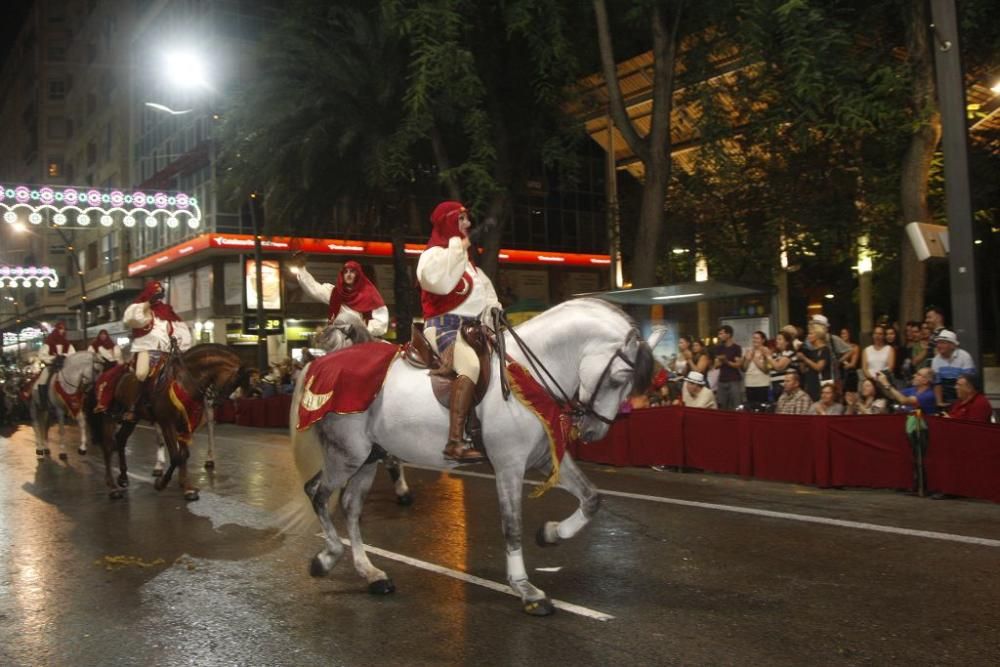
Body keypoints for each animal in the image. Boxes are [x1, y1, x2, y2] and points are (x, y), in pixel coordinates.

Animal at [86, 344, 250, 500]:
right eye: (235, 381)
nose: (218, 402)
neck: (184, 381)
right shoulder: (167, 423)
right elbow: (176, 456)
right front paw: (161, 483)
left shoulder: (186, 424)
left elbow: (184, 454)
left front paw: (187, 487)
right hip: (108, 417)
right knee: (108, 447)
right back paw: (113, 487)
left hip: (131, 420)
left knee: (120, 440)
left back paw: (123, 477)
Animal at [292, 298, 656, 616]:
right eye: (619, 378)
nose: (595, 431)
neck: (529, 372)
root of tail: (319, 365)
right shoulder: (509, 466)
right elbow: (512, 526)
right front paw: (527, 590)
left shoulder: (544, 458)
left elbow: (592, 499)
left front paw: (551, 534)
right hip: (347, 456)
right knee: (319, 494)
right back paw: (328, 557)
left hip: (367, 458)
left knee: (350, 506)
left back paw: (371, 574)